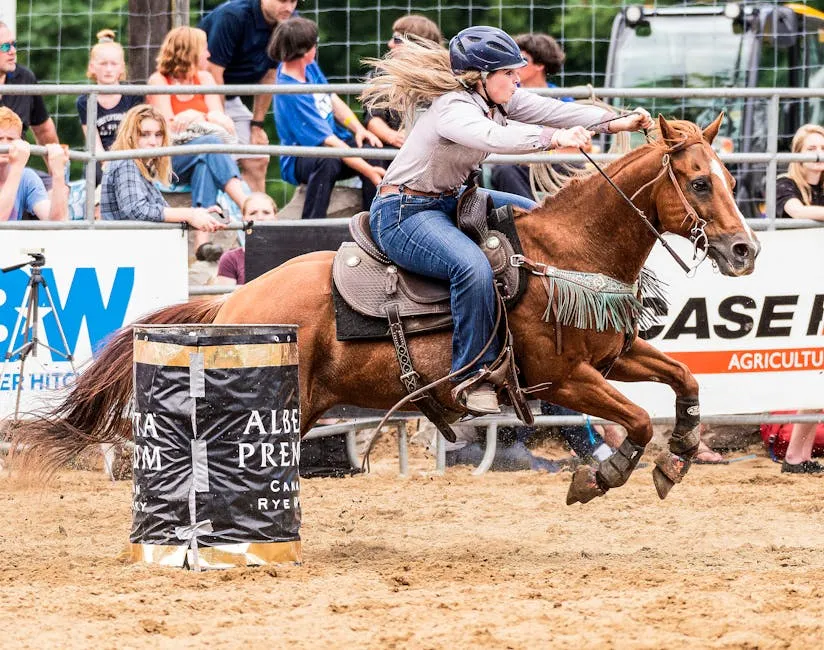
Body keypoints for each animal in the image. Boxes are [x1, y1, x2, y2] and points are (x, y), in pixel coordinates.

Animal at [14, 115, 760, 502]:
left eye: (727, 176)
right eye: (699, 182)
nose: (745, 249)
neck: (564, 251)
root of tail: (232, 304)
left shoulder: (613, 355)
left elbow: (684, 382)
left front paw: (679, 453)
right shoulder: (562, 378)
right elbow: (631, 420)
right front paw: (603, 474)